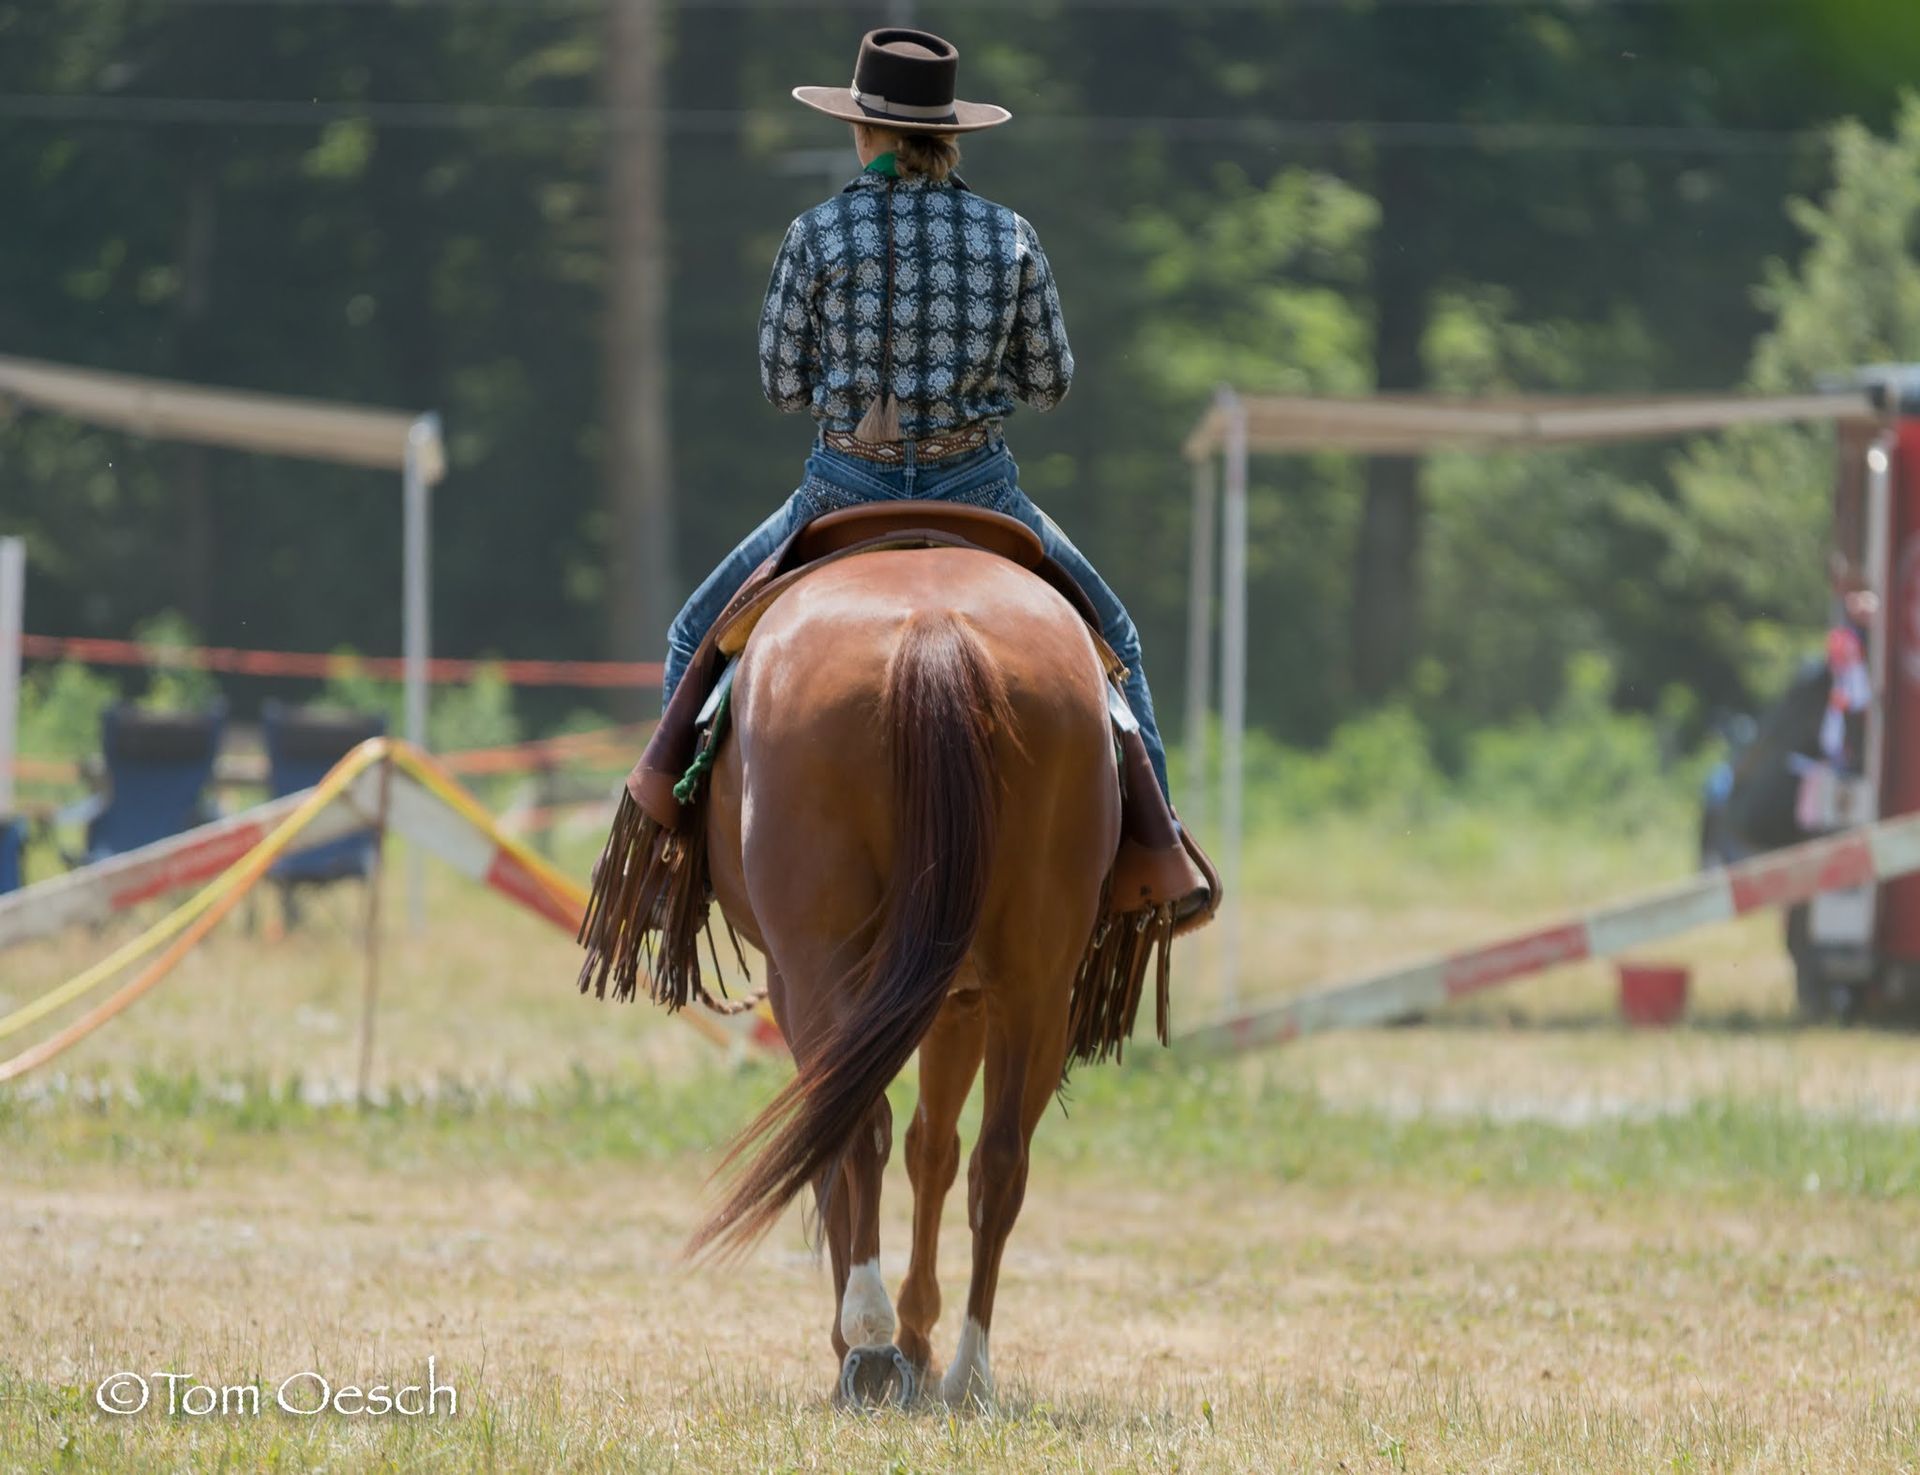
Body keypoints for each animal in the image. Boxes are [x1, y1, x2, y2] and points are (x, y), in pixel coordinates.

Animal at [667, 544, 1120, 1407]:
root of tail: (934, 630)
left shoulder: (800, 986)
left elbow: (837, 1147)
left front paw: (871, 1333)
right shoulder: (961, 998)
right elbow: (933, 1148)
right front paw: (917, 1330)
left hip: (824, 964)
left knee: (856, 1123)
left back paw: (871, 1340)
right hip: (1037, 980)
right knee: (998, 1155)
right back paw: (966, 1369)